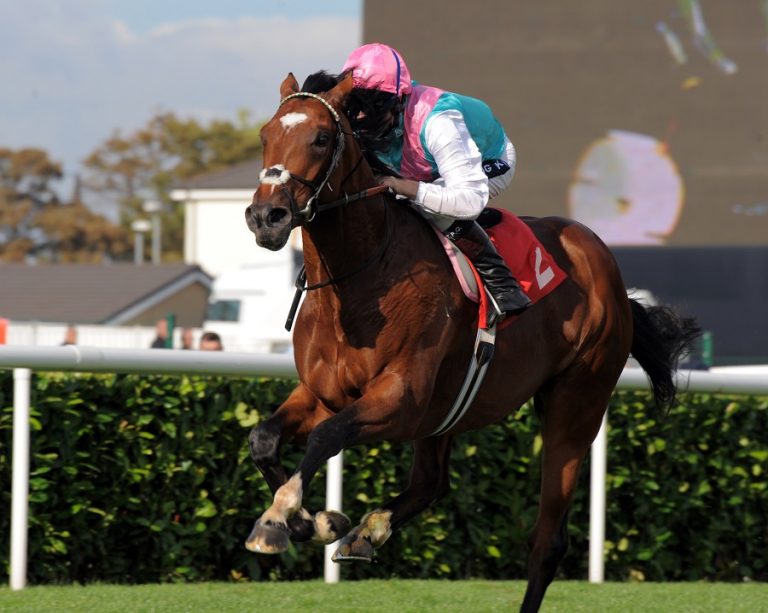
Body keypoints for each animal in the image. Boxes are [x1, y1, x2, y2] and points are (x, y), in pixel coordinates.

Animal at [243, 72, 700, 612]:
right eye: (265, 136)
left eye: (320, 138)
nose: (265, 216)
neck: (357, 280)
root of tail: (607, 268)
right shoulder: (324, 395)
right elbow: (264, 438)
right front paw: (315, 522)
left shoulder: (401, 399)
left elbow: (327, 436)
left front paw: (279, 519)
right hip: (448, 410)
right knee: (431, 482)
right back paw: (367, 531)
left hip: (576, 405)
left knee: (548, 539)